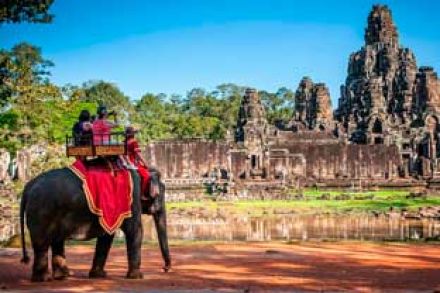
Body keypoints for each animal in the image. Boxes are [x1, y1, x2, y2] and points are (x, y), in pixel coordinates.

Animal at [19, 164, 170, 280]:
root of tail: (28, 186)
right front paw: (137, 277)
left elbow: (107, 236)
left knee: (56, 241)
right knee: (42, 243)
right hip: (42, 210)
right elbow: (135, 230)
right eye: (160, 193)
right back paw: (44, 279)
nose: (165, 268)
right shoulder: (131, 198)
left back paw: (63, 276)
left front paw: (99, 275)